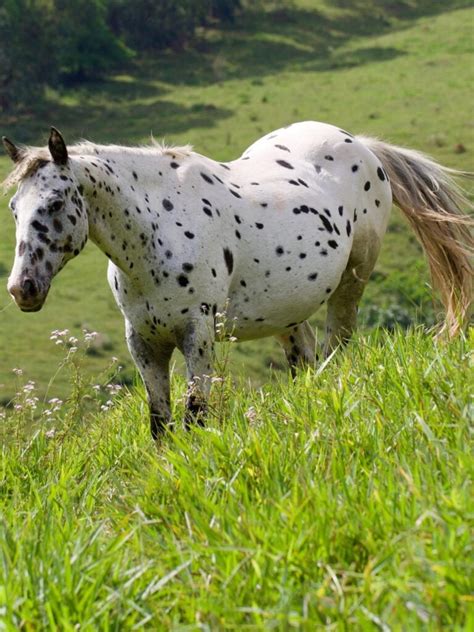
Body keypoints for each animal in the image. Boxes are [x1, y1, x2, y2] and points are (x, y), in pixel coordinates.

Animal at [1, 124, 472, 440]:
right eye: (13, 207)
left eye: (55, 202)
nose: (23, 288)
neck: (155, 233)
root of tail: (360, 145)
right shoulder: (144, 342)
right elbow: (160, 424)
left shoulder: (197, 334)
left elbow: (195, 415)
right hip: (288, 313)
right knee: (305, 360)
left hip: (351, 285)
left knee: (337, 349)